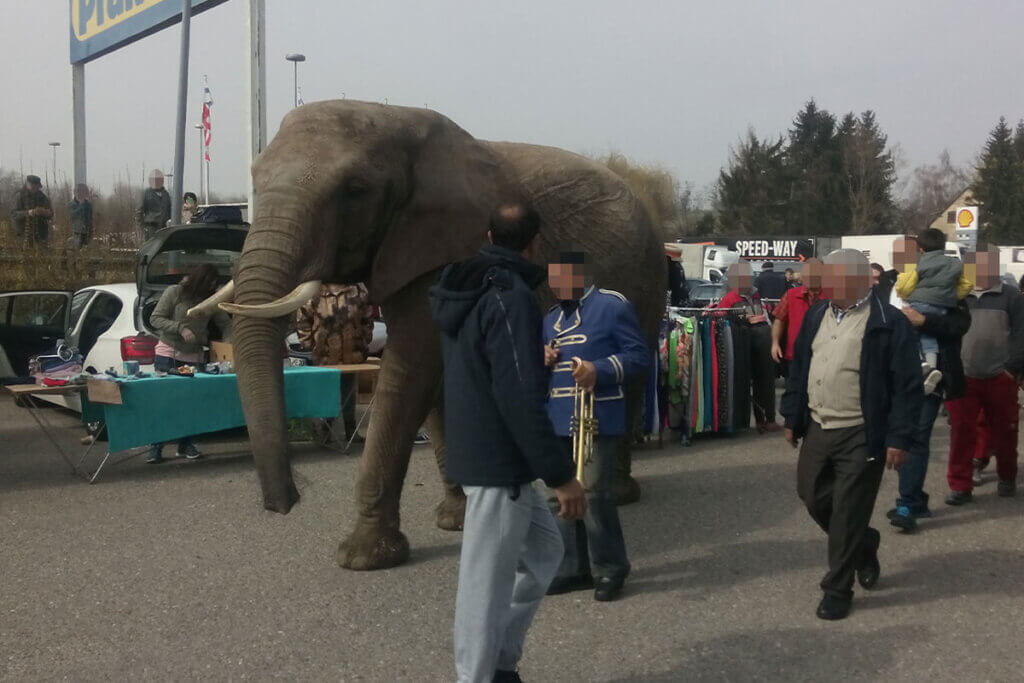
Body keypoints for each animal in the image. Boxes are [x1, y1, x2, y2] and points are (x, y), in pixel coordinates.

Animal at [192, 100, 667, 573]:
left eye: (356, 189)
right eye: (256, 178)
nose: (287, 503)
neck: (396, 120)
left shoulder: (436, 245)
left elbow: (409, 370)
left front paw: (363, 558)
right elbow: (438, 378)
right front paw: (455, 521)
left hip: (644, 275)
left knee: (630, 377)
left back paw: (613, 494)